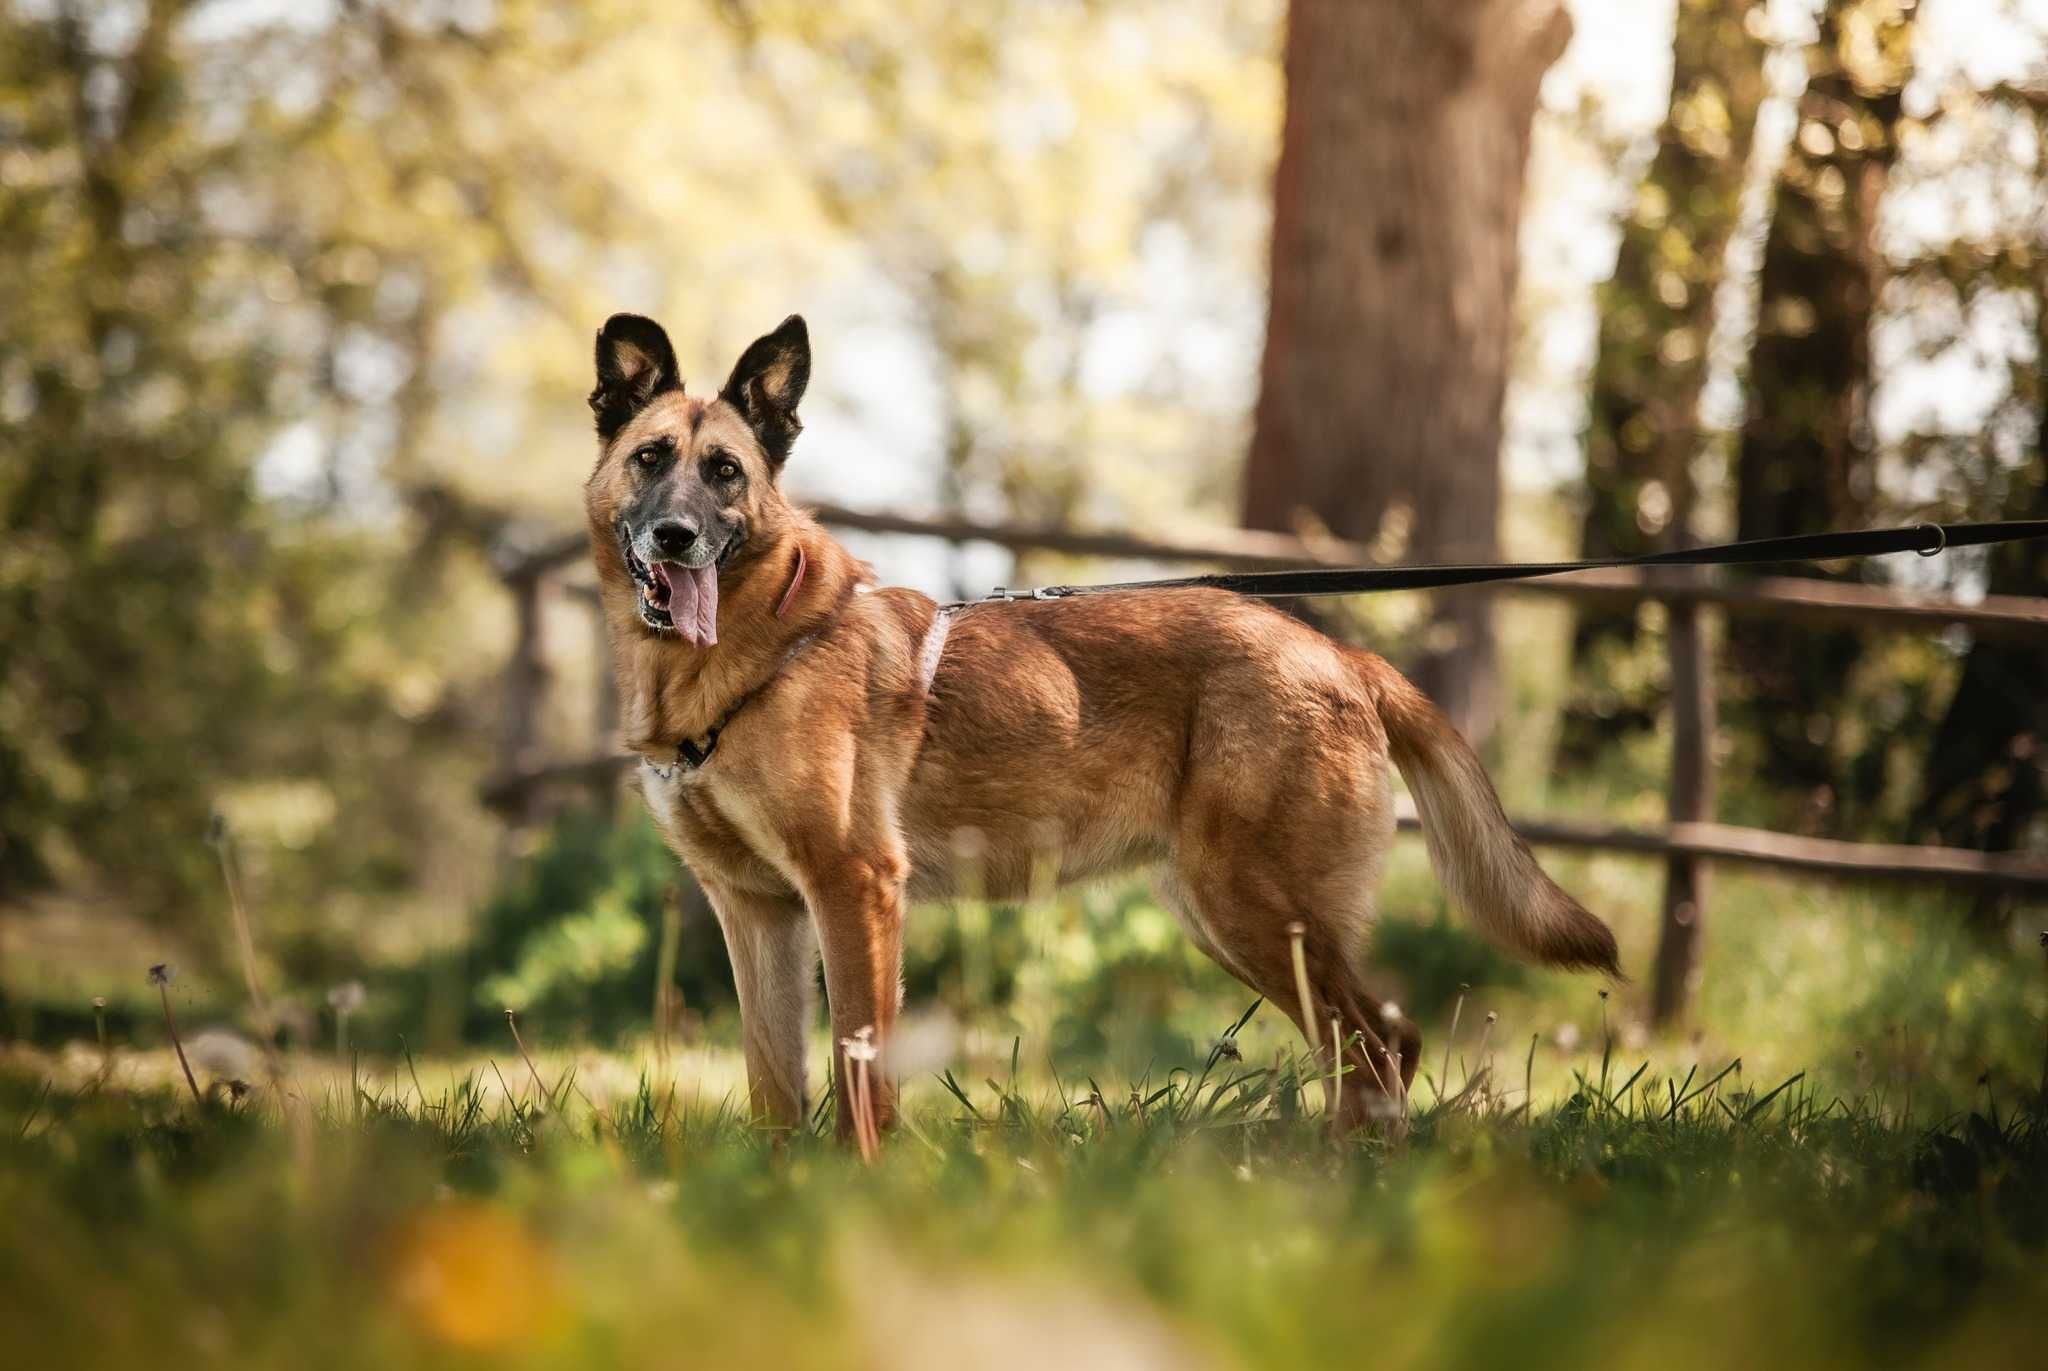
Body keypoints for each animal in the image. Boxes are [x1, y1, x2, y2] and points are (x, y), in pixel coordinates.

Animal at [585, 315, 1622, 1139]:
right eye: (650, 459)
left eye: (725, 472)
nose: (675, 537)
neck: (750, 648)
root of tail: (1338, 654)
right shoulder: (755, 911)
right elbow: (774, 1084)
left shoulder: (854, 887)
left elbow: (859, 1072)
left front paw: (856, 1187)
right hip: (1228, 918)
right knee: (1369, 1049)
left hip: (1257, 908)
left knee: (1376, 1045)